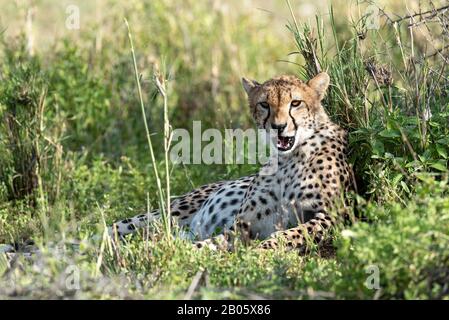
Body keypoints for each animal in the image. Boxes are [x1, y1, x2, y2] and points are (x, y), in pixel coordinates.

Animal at [107, 72, 352, 252]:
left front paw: (262, 250)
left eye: (296, 103)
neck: (287, 159)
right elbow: (210, 244)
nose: (278, 126)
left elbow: (291, 234)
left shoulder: (334, 215)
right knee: (117, 226)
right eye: (264, 104)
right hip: (170, 213)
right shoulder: (241, 227)